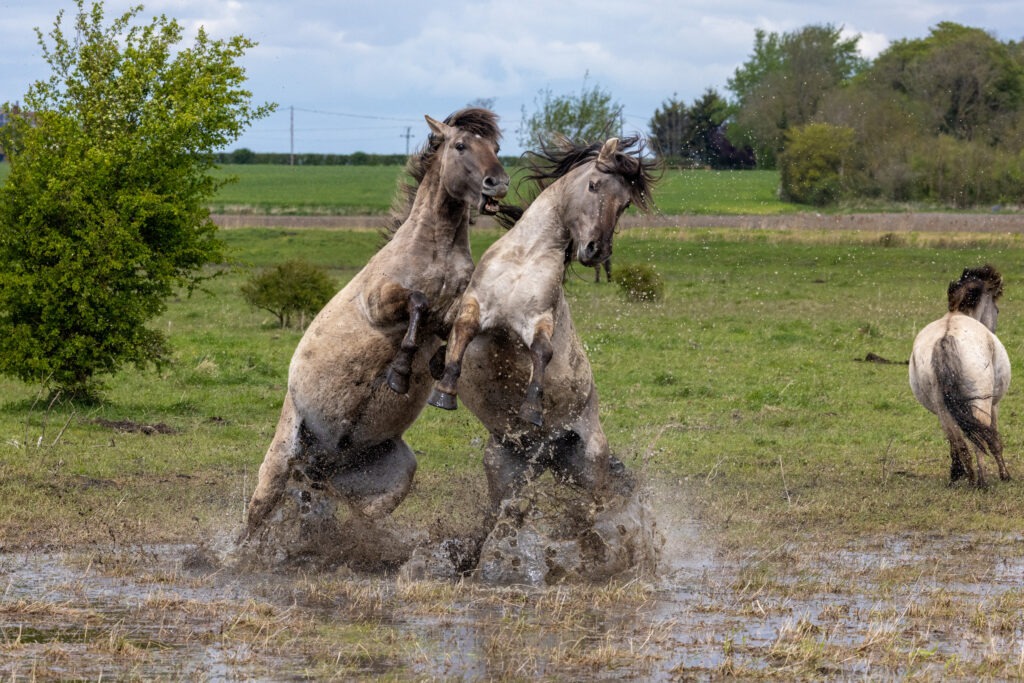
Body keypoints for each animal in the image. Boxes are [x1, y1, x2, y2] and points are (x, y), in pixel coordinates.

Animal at [240, 108, 512, 540]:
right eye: (460, 145)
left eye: (497, 148)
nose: (497, 184)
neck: (434, 250)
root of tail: (324, 461)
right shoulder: (380, 302)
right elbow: (418, 304)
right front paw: (400, 372)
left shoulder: (452, 311)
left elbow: (455, 328)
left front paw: (440, 373)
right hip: (281, 459)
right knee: (257, 515)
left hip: (384, 483)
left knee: (335, 512)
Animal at [909, 266, 1011, 485]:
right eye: (996, 309)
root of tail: (945, 338)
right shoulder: (994, 405)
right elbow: (995, 441)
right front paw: (1004, 474)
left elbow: (954, 445)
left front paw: (955, 473)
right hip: (980, 403)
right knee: (979, 441)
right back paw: (981, 482)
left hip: (941, 406)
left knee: (960, 442)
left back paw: (970, 479)